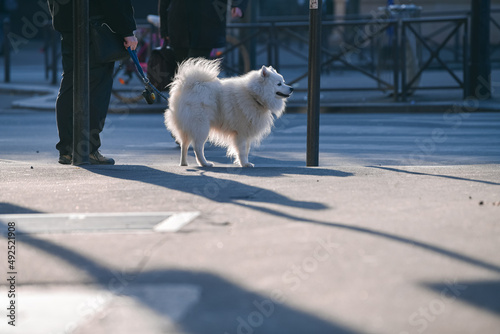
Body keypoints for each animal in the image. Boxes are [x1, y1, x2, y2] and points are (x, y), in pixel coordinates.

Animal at [164, 58, 292, 167]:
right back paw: (205, 163)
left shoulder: (247, 132)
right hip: (201, 126)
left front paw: (245, 162)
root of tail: (187, 86)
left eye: (284, 81)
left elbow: (246, 149)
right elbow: (242, 150)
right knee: (197, 147)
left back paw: (184, 163)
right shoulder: (241, 132)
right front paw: (244, 164)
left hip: (188, 127)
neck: (253, 95)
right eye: (279, 83)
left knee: (184, 144)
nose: (291, 88)